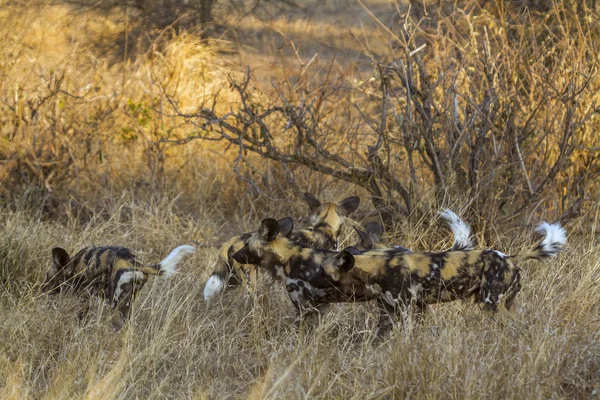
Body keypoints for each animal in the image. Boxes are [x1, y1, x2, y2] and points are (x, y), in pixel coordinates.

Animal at [42, 245, 197, 330]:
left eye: (48, 276)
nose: (42, 289)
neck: (74, 266)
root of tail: (135, 262)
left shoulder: (85, 300)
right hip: (127, 305)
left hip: (115, 306)